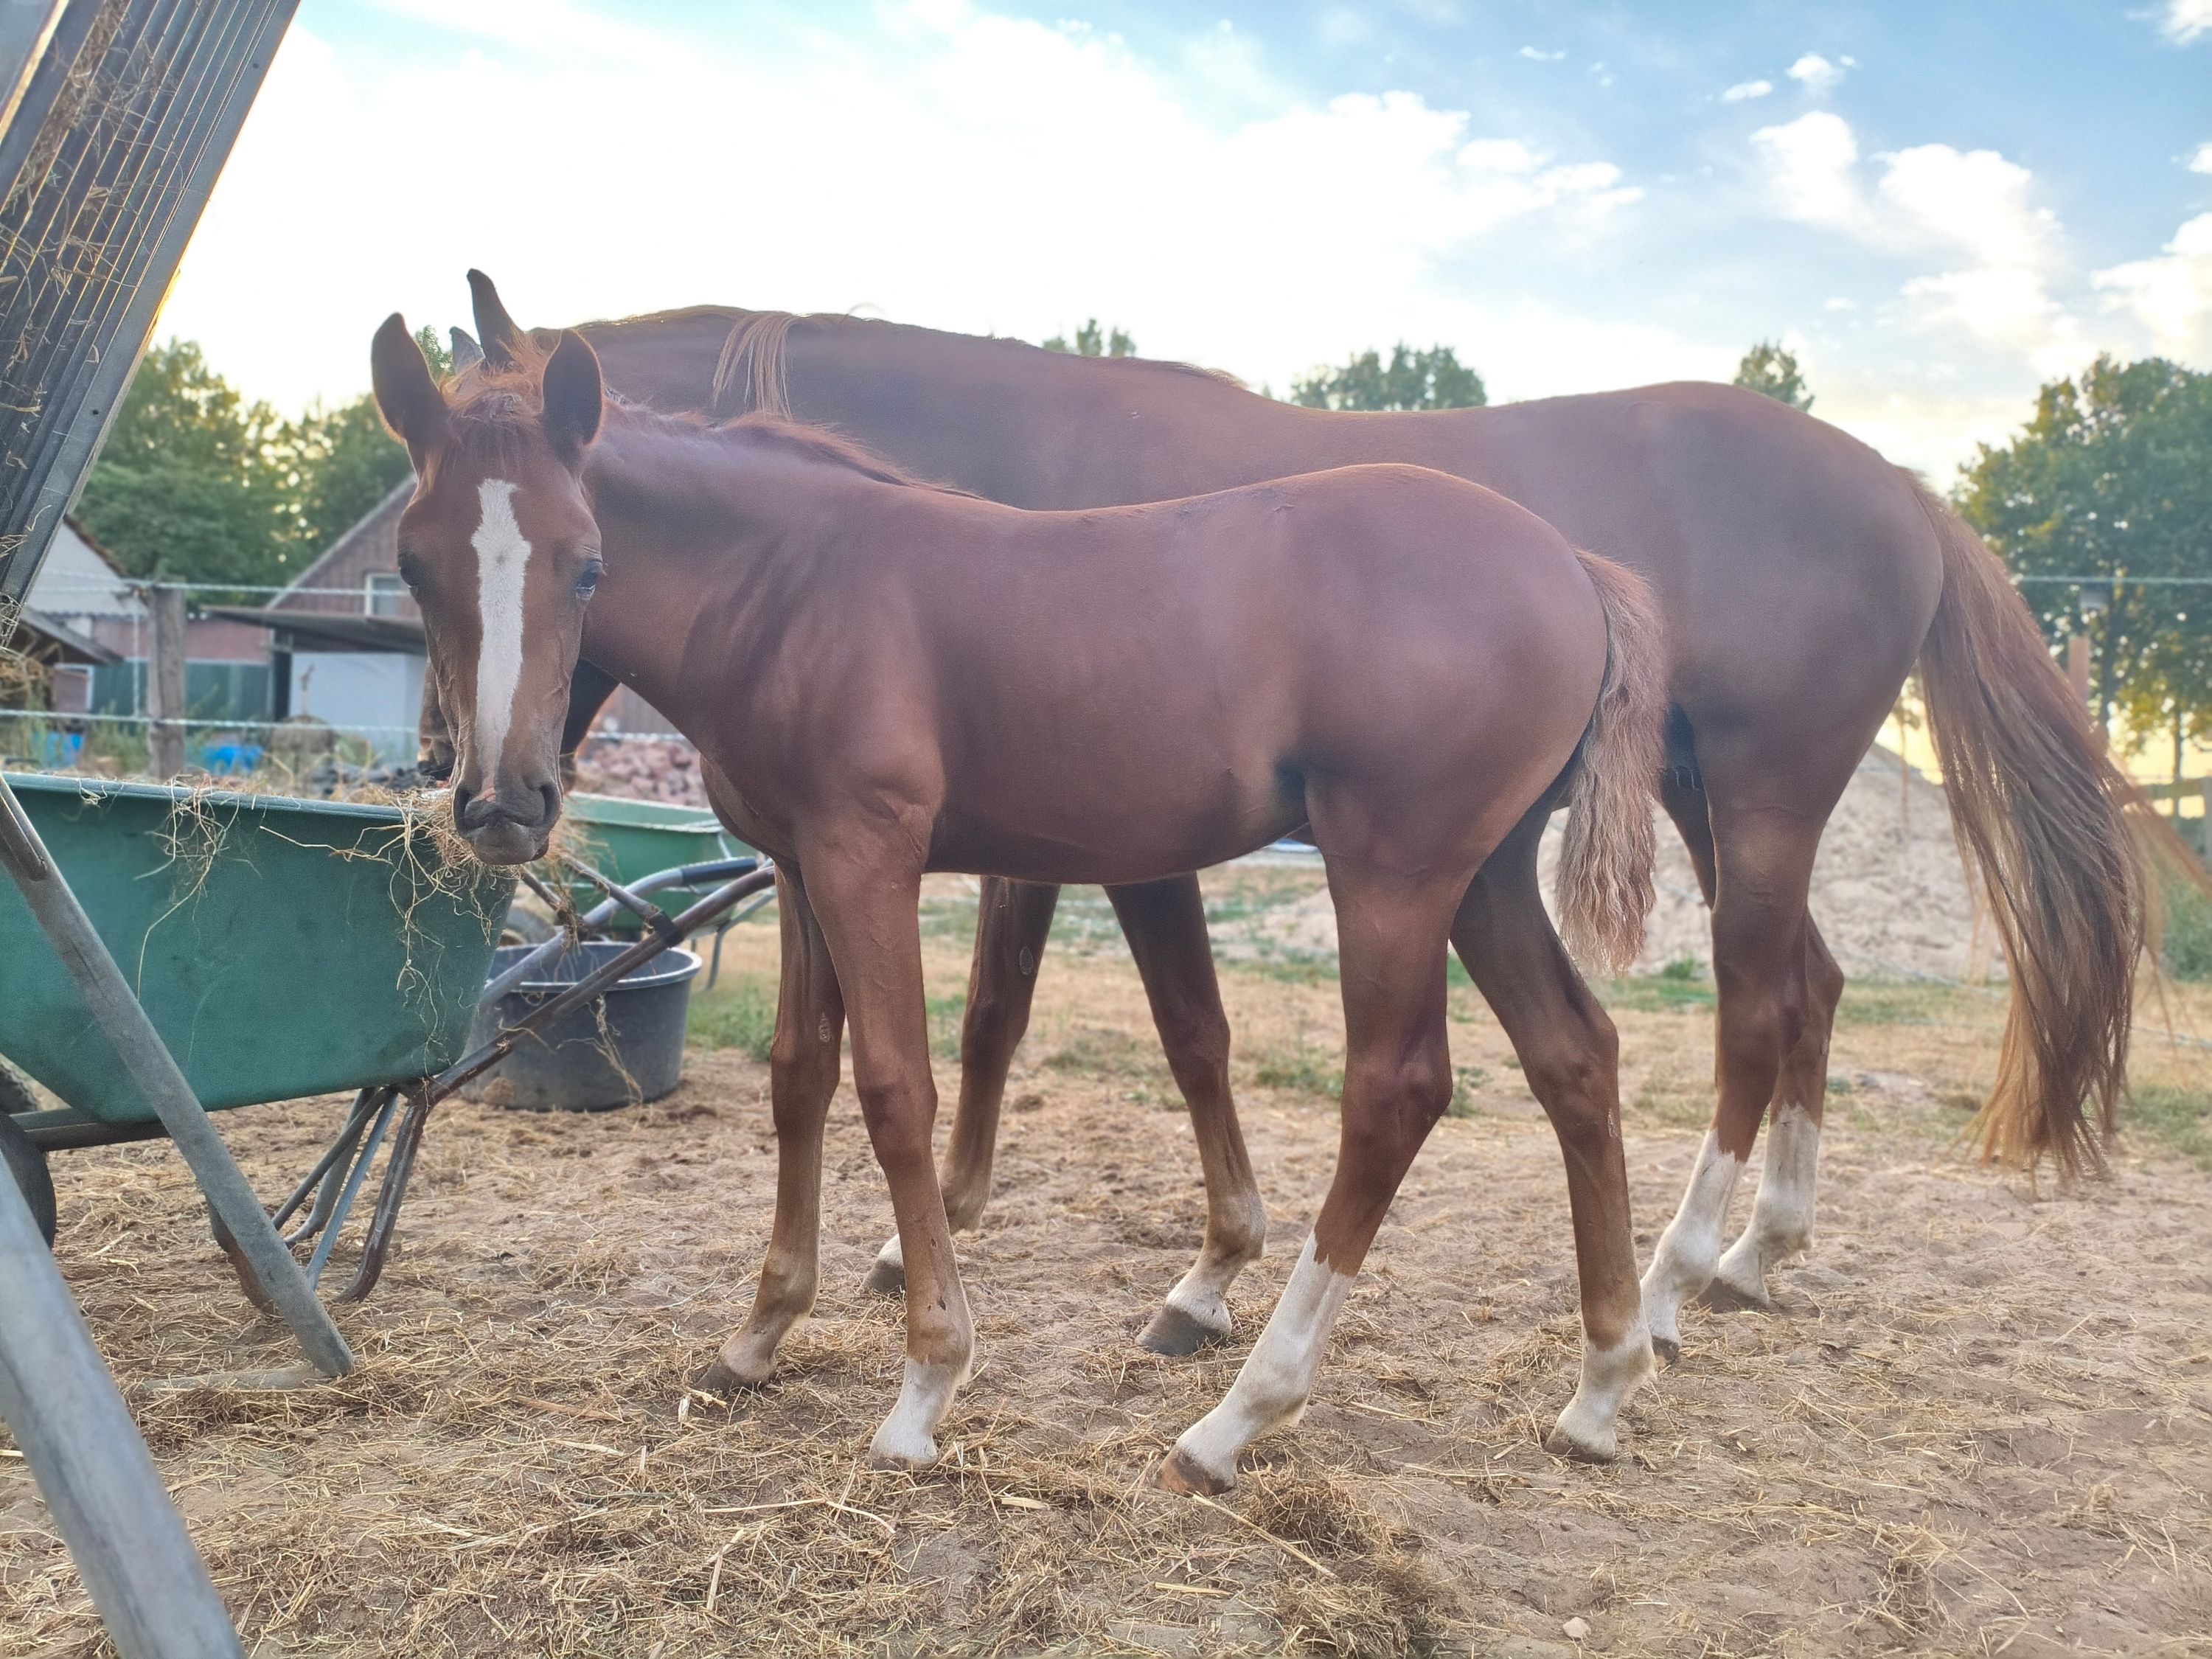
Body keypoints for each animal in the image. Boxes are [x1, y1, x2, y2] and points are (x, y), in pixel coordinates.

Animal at [369, 314, 1668, 1486]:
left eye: (589, 559)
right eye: (415, 563)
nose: (497, 799)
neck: (797, 586)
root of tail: (1577, 570)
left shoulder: (868, 857)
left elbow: (898, 1087)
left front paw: (924, 1383)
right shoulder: (798, 868)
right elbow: (800, 1075)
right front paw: (758, 1334)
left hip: (1394, 874)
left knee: (1396, 1092)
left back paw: (1236, 1419)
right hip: (1485, 878)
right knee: (1576, 1052)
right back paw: (1602, 1386)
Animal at [454, 273, 2146, 1370]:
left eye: (579, 559)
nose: (488, 792)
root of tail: (1907, 489)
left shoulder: (1076, 841)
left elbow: (1045, 1016)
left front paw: (1053, 1254)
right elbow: (1105, 1025)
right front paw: (1162, 1267)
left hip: (1761, 798)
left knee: (1751, 1009)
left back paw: (1666, 1286)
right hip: (1709, 806)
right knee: (1809, 990)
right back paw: (1753, 1252)